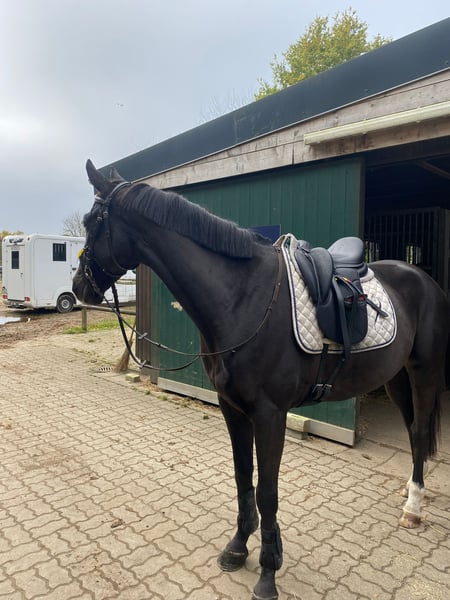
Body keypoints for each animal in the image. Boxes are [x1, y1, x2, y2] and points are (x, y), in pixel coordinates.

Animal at [73, 160, 449, 600]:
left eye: (92, 223)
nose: (79, 288)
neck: (240, 298)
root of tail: (423, 279)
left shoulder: (270, 415)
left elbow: (267, 492)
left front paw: (268, 573)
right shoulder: (232, 408)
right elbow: (243, 478)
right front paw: (239, 546)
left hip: (423, 372)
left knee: (420, 431)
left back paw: (413, 508)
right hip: (394, 377)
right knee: (411, 431)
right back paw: (408, 490)